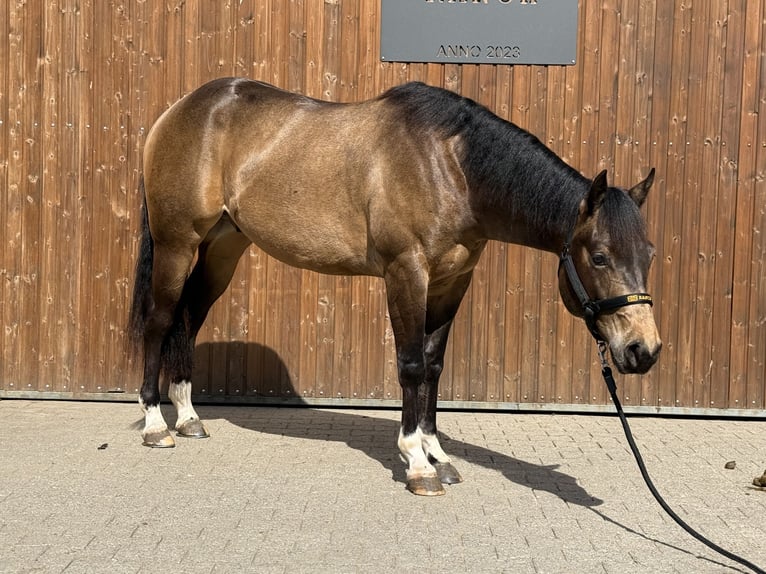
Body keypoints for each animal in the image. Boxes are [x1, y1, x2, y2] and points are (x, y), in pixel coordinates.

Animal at [128, 78, 661, 496]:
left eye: (650, 254)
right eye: (599, 257)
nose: (644, 350)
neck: (450, 167)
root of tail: (182, 109)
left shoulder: (452, 282)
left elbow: (433, 366)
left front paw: (438, 454)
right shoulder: (407, 273)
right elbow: (410, 366)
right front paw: (417, 463)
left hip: (223, 248)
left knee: (189, 319)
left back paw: (189, 417)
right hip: (177, 242)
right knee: (160, 321)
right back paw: (156, 424)